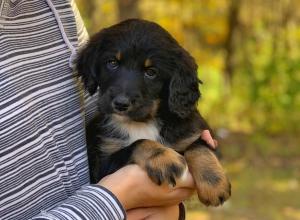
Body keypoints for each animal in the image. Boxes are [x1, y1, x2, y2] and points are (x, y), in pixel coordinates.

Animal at [76, 18, 231, 206]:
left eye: (151, 72)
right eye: (112, 63)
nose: (121, 104)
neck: (143, 121)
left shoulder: (195, 132)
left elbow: (199, 146)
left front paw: (214, 183)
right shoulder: (103, 164)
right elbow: (139, 142)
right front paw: (163, 158)